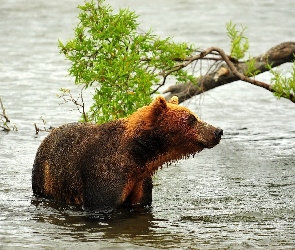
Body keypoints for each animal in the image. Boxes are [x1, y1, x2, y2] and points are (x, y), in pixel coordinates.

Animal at [31, 95, 222, 211]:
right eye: (191, 119)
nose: (217, 131)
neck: (136, 156)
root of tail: (48, 135)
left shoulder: (140, 181)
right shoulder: (104, 174)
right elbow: (102, 202)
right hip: (45, 178)